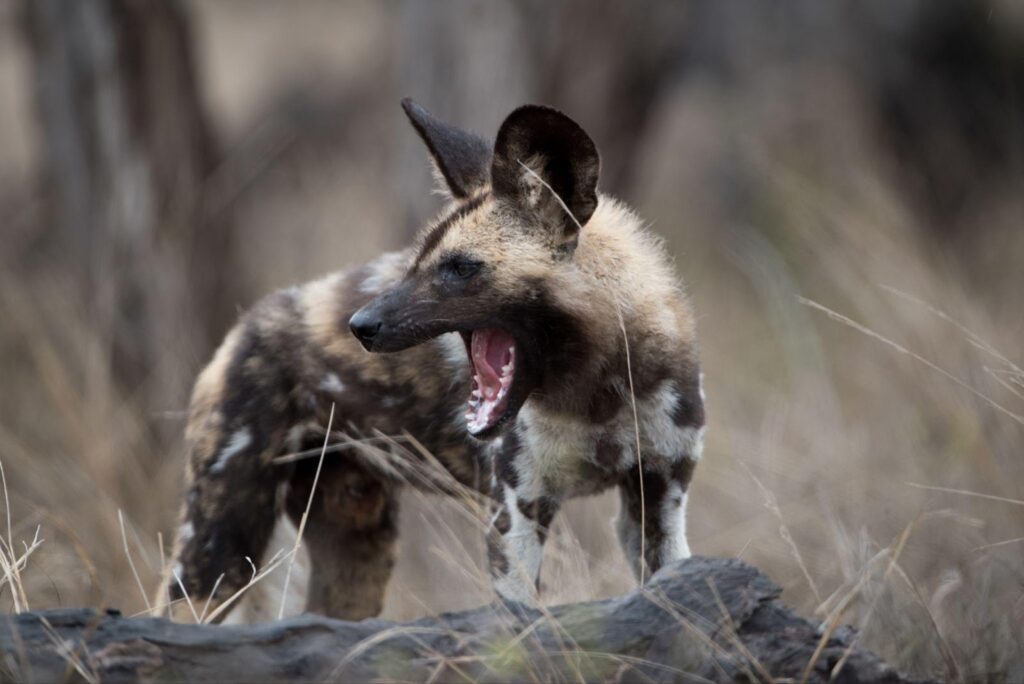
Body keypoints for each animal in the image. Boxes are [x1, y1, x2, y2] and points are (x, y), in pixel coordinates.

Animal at [159, 100, 704, 618]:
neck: (600, 391)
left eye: (460, 268)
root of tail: (244, 325)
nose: (360, 325)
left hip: (356, 550)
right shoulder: (516, 513)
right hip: (218, 549)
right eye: (415, 261)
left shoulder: (659, 502)